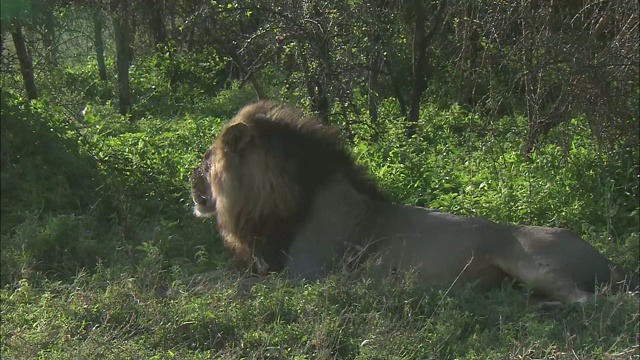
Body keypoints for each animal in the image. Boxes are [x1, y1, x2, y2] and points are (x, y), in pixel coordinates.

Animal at [190, 100, 636, 304]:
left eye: (207, 159)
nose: (191, 178)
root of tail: (609, 261)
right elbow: (213, 275)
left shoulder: (305, 277)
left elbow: (229, 284)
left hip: (532, 262)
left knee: (592, 301)